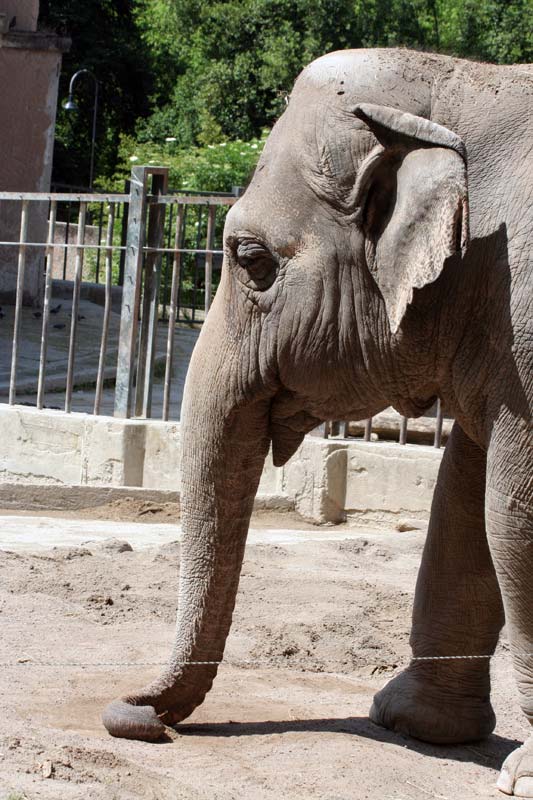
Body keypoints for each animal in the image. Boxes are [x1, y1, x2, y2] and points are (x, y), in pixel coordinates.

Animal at [103, 49, 533, 795]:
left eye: (251, 260)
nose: (131, 714)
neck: (462, 81)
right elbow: (467, 501)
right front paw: (412, 724)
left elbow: (514, 520)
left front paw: (519, 775)